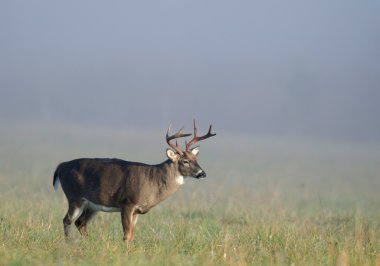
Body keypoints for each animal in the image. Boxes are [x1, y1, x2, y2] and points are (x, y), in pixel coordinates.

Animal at [52, 121, 215, 242]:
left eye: (196, 159)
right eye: (185, 161)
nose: (203, 173)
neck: (152, 181)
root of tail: (61, 166)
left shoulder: (137, 210)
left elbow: (131, 235)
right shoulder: (127, 203)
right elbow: (126, 235)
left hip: (92, 205)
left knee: (80, 223)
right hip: (74, 197)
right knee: (67, 220)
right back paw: (68, 244)